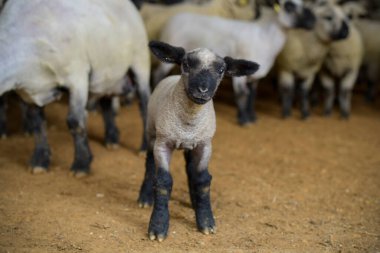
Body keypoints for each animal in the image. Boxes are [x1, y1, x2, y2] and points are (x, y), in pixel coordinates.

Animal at [0, 0, 151, 177]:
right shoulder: (30, 92)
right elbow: (37, 123)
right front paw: (40, 161)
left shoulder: (76, 76)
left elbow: (75, 121)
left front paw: (81, 164)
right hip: (107, 74)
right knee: (106, 102)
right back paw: (111, 138)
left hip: (140, 61)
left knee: (144, 105)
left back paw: (144, 147)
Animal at [138, 40, 260, 242]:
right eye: (186, 64)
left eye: (221, 70)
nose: (203, 90)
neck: (188, 122)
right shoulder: (163, 144)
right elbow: (163, 181)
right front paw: (158, 226)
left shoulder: (204, 145)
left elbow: (202, 180)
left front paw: (206, 221)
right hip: (151, 132)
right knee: (148, 164)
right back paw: (144, 198)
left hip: (191, 146)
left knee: (190, 170)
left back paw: (194, 202)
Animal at [153, 0, 316, 125]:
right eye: (289, 6)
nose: (312, 20)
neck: (265, 37)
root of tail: (176, 17)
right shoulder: (240, 74)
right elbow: (242, 94)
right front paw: (244, 120)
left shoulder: (255, 76)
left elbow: (252, 95)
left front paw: (252, 116)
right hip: (167, 57)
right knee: (157, 75)